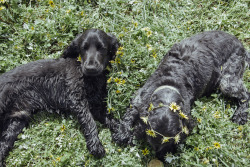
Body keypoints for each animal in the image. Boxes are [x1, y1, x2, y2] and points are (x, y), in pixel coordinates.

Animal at [0, 29, 120, 164]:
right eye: (83, 48)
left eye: (102, 48)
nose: (90, 68)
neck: (90, 78)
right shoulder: (77, 98)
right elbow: (89, 121)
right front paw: (95, 146)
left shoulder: (96, 106)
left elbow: (109, 118)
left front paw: (123, 132)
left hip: (16, 121)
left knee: (3, 144)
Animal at [112, 31, 249, 159]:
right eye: (152, 141)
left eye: (170, 141)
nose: (160, 156)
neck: (170, 85)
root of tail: (240, 44)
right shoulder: (140, 98)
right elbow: (129, 114)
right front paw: (122, 134)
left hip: (228, 79)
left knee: (245, 95)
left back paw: (240, 115)